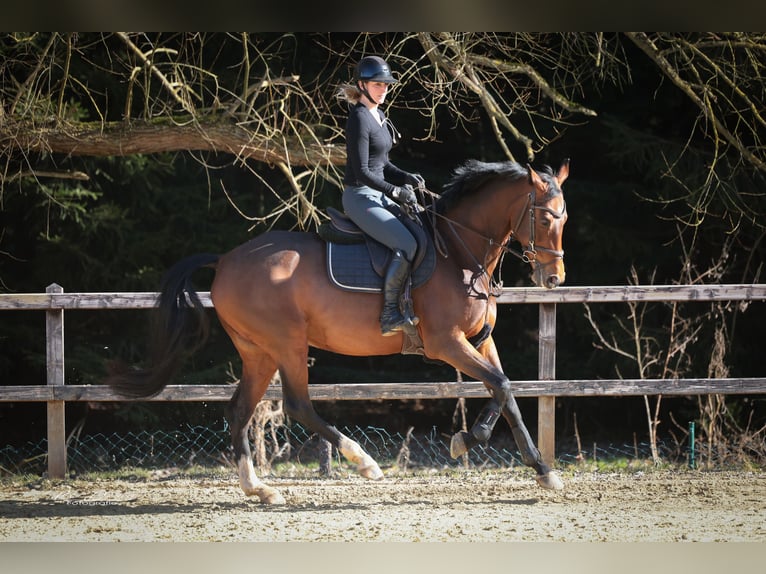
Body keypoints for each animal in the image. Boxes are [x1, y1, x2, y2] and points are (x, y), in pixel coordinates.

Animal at [111, 158, 572, 504]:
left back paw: (259, 489)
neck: (457, 252)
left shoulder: (480, 339)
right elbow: (502, 386)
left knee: (240, 411)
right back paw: (363, 461)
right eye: (545, 217)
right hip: (287, 345)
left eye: (564, 217)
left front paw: (532, 465)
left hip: (258, 352)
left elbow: (504, 390)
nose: (554, 279)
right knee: (298, 405)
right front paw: (490, 450)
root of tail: (224, 260)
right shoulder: (447, 343)